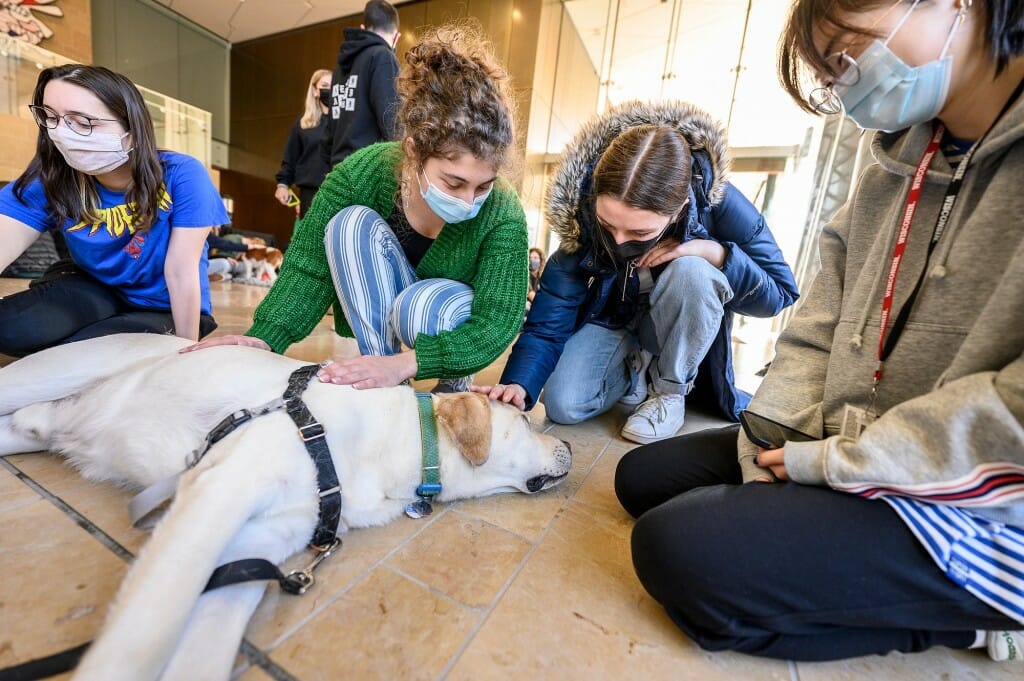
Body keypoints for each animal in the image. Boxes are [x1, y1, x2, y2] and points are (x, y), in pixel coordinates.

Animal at [0, 333, 577, 679]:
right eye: (524, 423)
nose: (570, 446)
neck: (404, 443)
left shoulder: (255, 548)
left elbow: (203, 650)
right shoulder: (223, 488)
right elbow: (147, 629)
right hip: (40, 374)